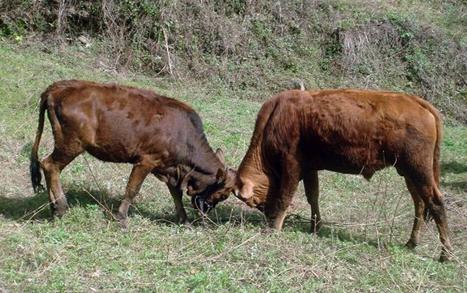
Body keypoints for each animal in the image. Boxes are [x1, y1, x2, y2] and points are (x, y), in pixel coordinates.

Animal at [29, 80, 227, 228]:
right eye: (223, 194)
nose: (206, 215)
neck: (184, 135)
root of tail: (58, 87)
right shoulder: (147, 161)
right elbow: (132, 189)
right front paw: (122, 218)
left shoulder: (169, 168)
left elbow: (175, 193)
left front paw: (184, 220)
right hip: (71, 144)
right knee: (49, 165)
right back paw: (61, 207)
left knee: (48, 167)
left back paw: (53, 207)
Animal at [200, 88, 454, 260]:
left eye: (249, 201)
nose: (266, 214)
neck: (275, 118)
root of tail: (415, 101)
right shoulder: (310, 167)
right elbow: (313, 196)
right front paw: (315, 226)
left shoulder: (292, 165)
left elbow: (285, 197)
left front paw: (275, 227)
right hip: (409, 172)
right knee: (420, 205)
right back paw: (411, 242)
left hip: (418, 169)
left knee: (435, 202)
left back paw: (446, 253)